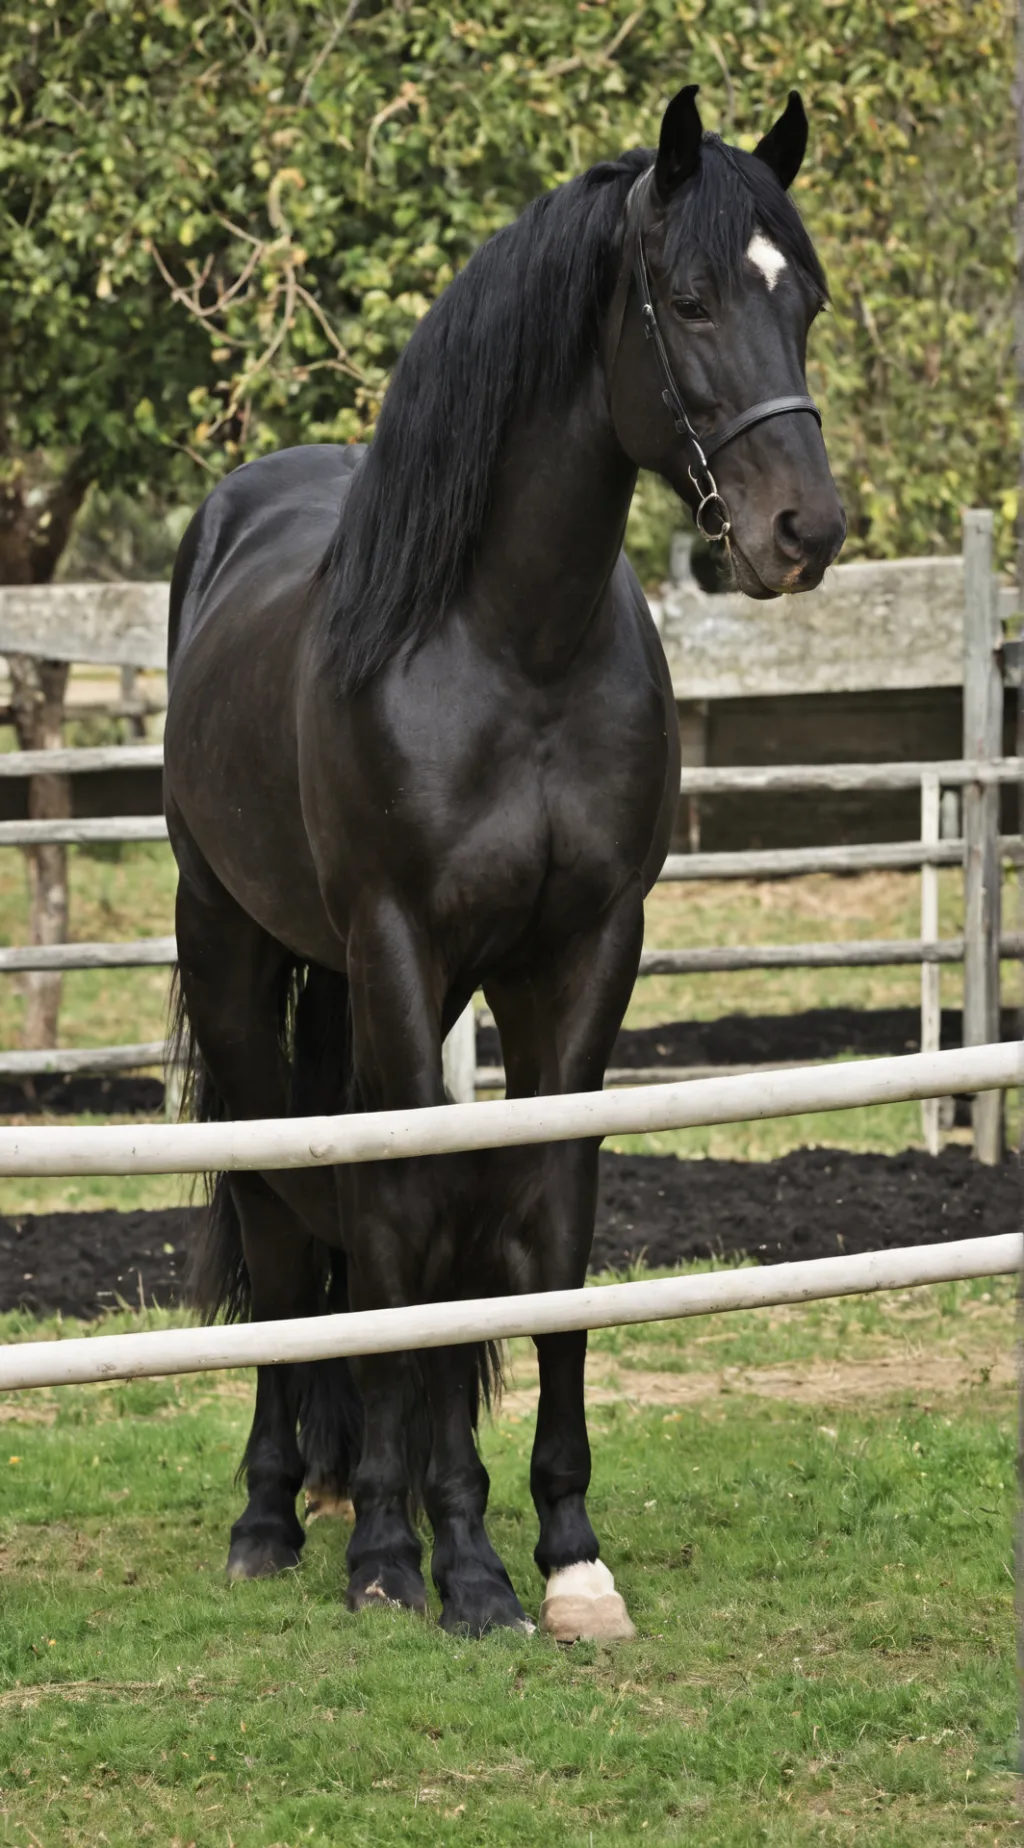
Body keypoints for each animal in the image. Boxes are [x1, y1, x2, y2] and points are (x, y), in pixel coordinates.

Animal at [164, 82, 845, 1640]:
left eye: (807, 301)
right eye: (689, 297)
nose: (806, 531)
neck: (507, 645)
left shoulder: (581, 952)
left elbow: (540, 1222)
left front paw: (561, 1549)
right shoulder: (402, 944)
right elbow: (410, 1216)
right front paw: (426, 1557)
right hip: (231, 950)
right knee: (284, 1219)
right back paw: (275, 1512)